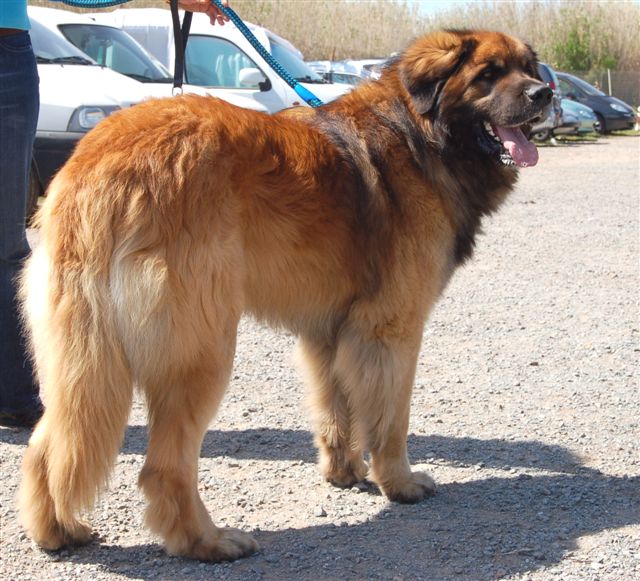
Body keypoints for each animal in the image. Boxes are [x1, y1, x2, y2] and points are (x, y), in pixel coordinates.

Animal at [20, 29, 552, 560]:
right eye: (488, 74)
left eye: (528, 69)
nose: (544, 94)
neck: (420, 134)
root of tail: (101, 162)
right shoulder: (390, 330)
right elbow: (390, 419)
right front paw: (399, 483)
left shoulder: (330, 332)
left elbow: (336, 407)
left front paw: (344, 473)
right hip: (202, 351)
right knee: (163, 468)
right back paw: (208, 541)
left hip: (81, 358)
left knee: (49, 445)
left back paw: (59, 530)